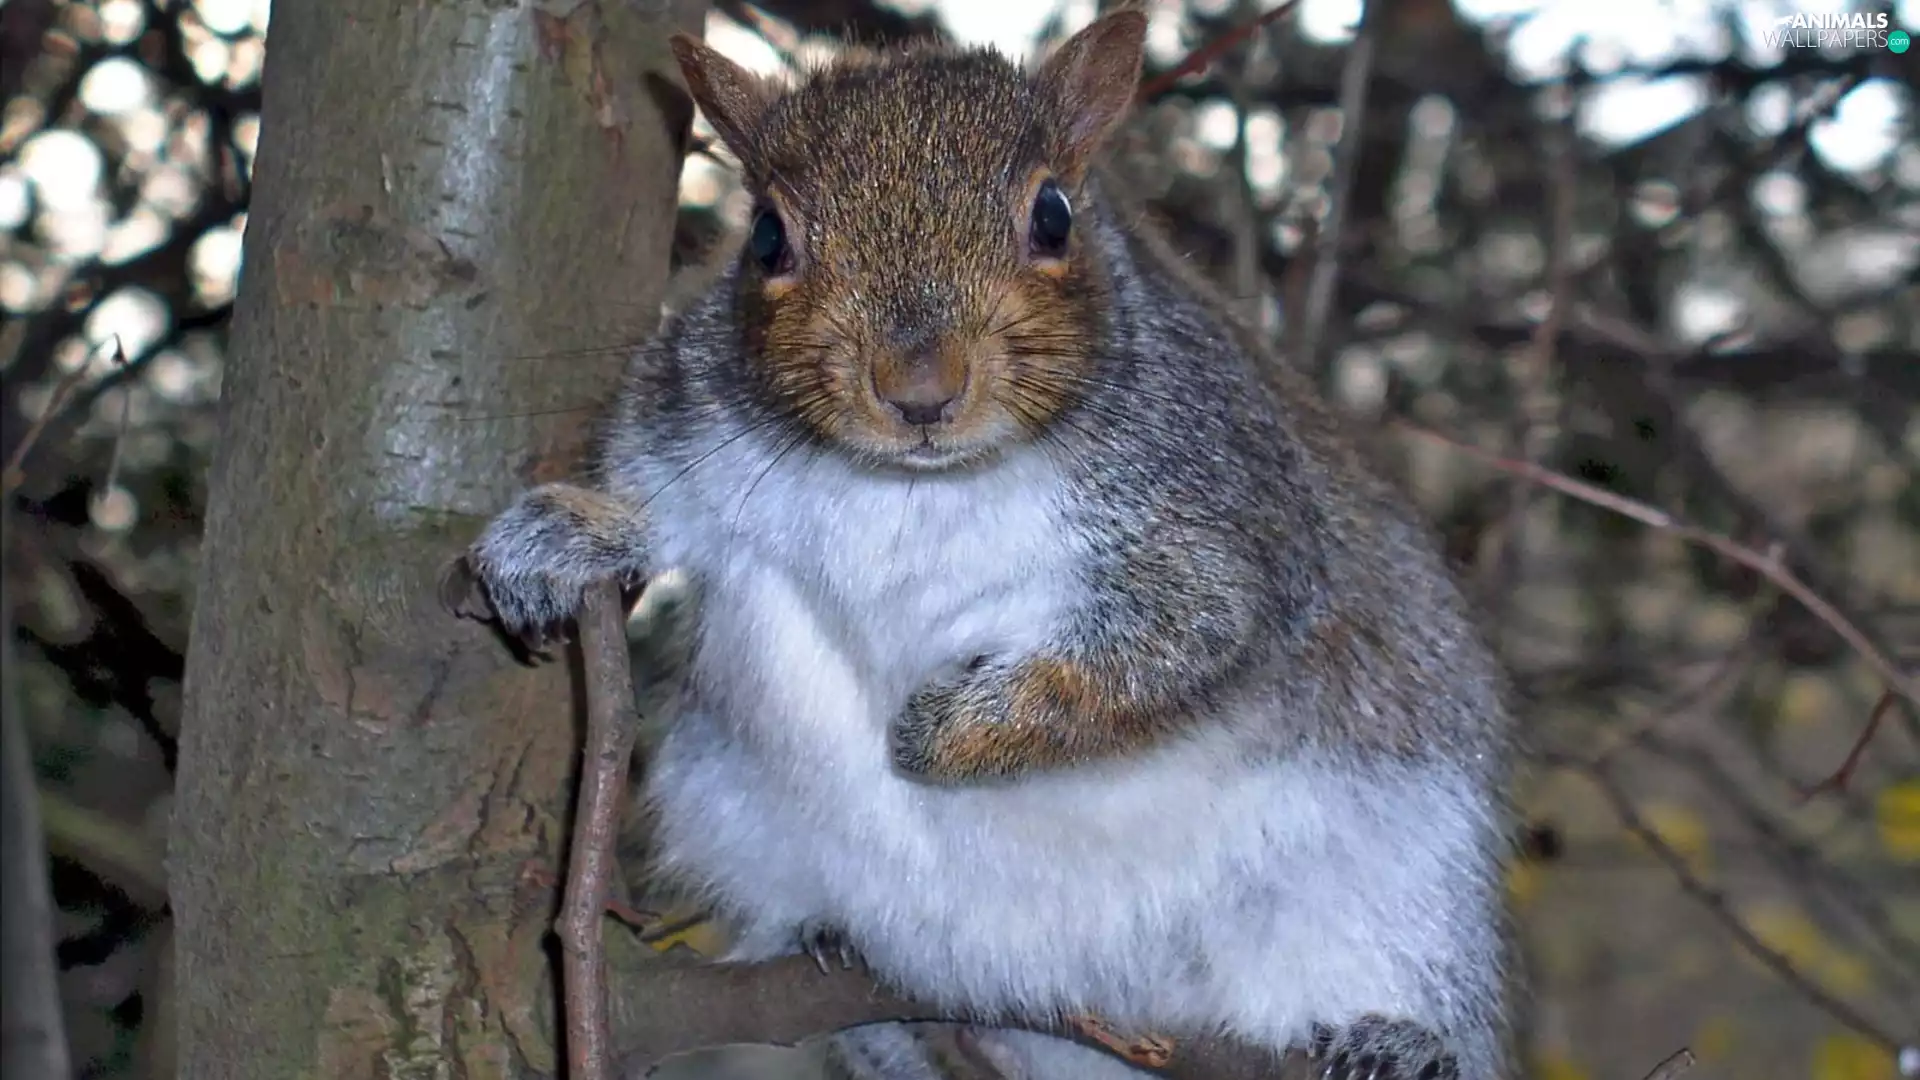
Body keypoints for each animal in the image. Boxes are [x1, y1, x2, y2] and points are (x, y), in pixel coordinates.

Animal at [447, 10, 1517, 1080]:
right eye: (766, 237)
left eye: (1054, 216)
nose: (920, 388)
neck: (918, 487)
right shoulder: (688, 426)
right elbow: (655, 503)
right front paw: (563, 537)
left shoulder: (1221, 512)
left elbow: (1176, 641)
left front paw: (944, 730)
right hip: (732, 815)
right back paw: (857, 983)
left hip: (1395, 886)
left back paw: (1398, 1041)